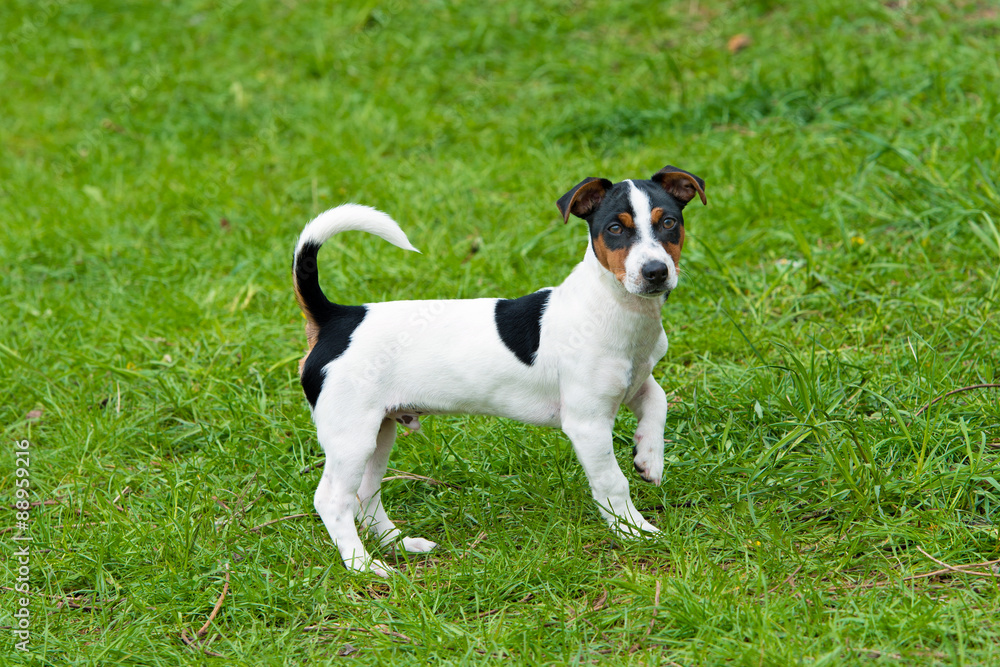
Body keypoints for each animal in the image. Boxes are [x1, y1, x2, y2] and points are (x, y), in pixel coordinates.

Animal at [292, 166, 708, 576]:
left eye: (669, 222)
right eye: (615, 229)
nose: (655, 271)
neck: (618, 308)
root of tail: (336, 317)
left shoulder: (636, 382)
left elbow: (658, 401)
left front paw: (649, 458)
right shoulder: (587, 423)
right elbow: (612, 482)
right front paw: (633, 530)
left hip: (380, 432)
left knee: (363, 496)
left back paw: (400, 544)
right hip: (352, 437)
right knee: (332, 500)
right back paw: (362, 564)